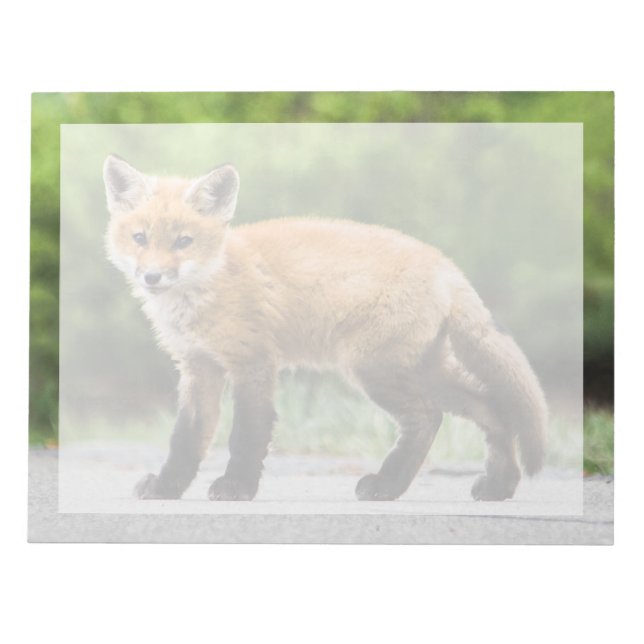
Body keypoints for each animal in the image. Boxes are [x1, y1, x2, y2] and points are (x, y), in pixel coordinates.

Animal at [103, 154, 548, 502]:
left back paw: (386, 485)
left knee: (428, 417)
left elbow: (246, 434)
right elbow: (186, 440)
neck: (207, 290)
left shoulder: (253, 364)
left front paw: (237, 487)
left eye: (183, 242)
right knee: (490, 407)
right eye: (140, 238)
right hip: (424, 370)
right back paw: (498, 485)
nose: (153, 277)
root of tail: (445, 264)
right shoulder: (199, 369)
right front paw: (167, 487)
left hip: (375, 369)